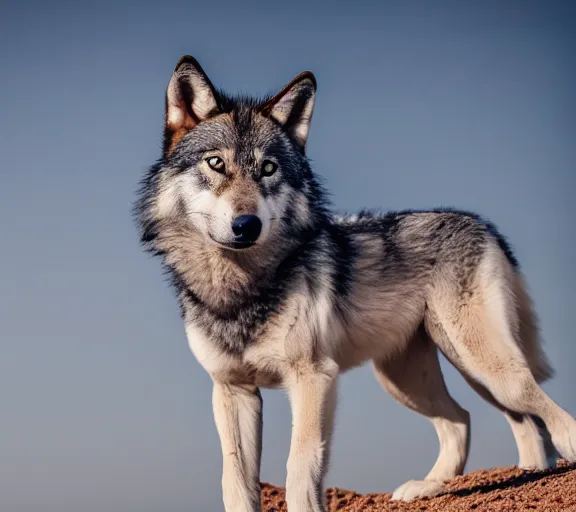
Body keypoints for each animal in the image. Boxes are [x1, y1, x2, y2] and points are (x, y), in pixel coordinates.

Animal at [136, 54, 576, 510]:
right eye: (216, 163)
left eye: (268, 169)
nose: (247, 225)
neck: (240, 289)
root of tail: (482, 223)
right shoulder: (232, 389)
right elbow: (235, 481)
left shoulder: (313, 378)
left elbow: (300, 468)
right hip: (413, 378)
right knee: (470, 420)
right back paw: (441, 485)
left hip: (485, 366)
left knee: (536, 409)